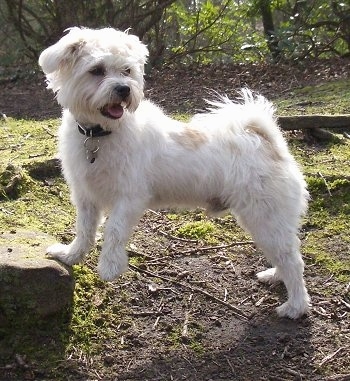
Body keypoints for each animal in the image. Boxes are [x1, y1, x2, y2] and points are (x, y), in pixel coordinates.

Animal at [39, 26, 312, 318]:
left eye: (127, 70)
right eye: (97, 70)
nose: (124, 89)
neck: (100, 135)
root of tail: (267, 138)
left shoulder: (130, 198)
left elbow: (113, 230)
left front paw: (109, 266)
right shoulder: (86, 197)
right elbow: (84, 231)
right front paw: (70, 256)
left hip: (266, 218)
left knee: (293, 261)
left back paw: (295, 305)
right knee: (286, 257)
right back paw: (276, 276)